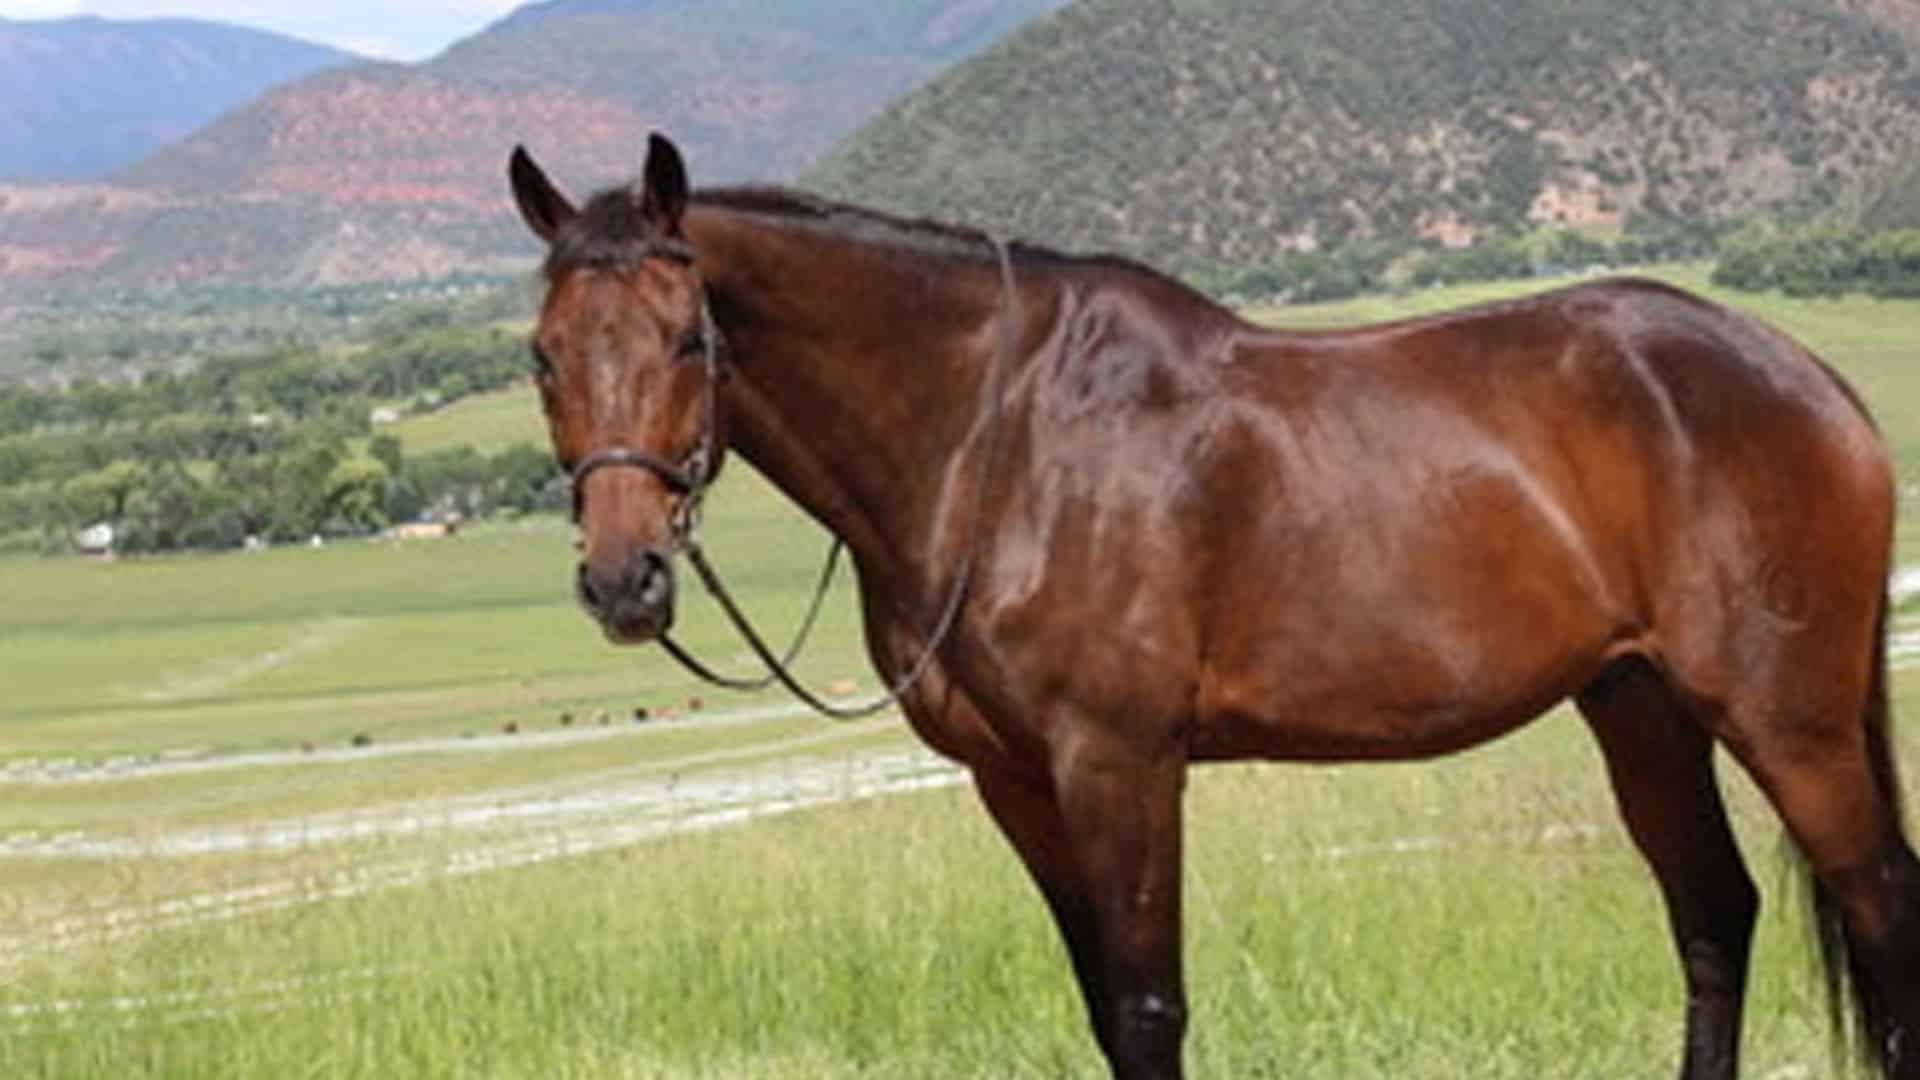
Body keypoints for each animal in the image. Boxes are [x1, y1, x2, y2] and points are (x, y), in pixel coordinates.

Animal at [506, 133, 1920, 1080]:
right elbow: (1103, 1007)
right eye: (543, 354)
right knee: (1713, 916)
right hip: (1638, 705)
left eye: (690, 336)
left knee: (1881, 907)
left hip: (1785, 718)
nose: (623, 581)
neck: (997, 432)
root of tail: (1807, 376)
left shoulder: (1120, 762)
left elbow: (1149, 1010)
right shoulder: (1017, 782)